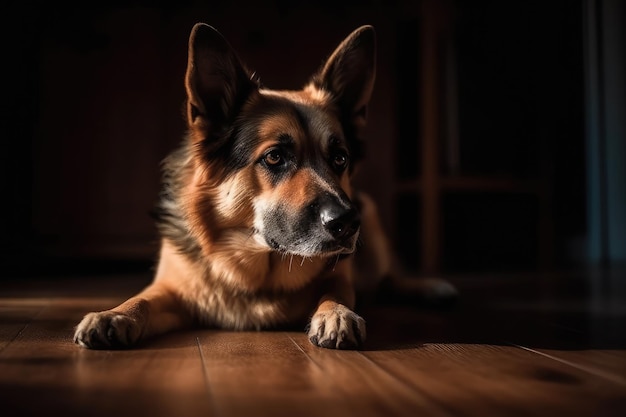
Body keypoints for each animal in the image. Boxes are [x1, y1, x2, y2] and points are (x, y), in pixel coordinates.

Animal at [73, 22, 454, 348]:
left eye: (340, 158)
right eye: (274, 157)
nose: (346, 223)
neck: (256, 272)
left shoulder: (340, 273)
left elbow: (335, 290)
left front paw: (336, 313)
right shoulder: (171, 289)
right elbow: (142, 299)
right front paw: (115, 313)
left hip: (371, 216)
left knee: (392, 274)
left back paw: (428, 287)